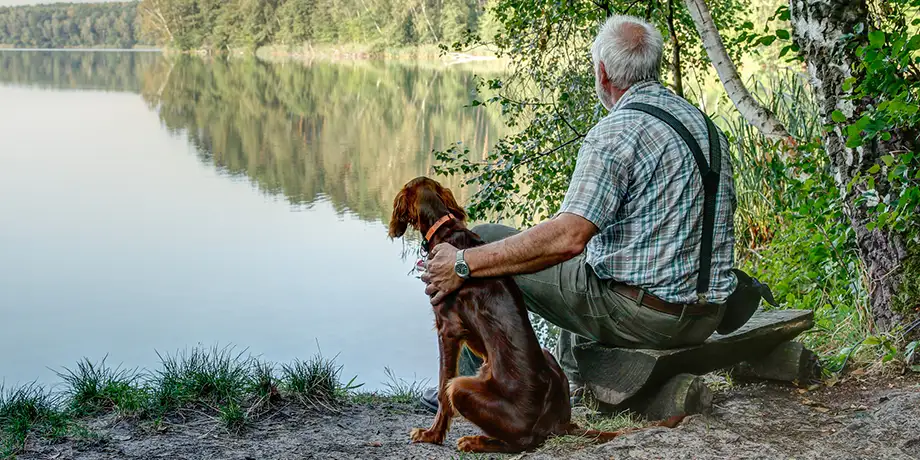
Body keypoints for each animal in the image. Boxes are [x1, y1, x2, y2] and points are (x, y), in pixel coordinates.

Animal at [388, 176, 684, 452]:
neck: (444, 228)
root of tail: (558, 423)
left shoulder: (448, 329)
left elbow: (442, 388)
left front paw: (431, 435)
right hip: (545, 356)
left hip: (462, 388)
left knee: (521, 442)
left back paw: (476, 441)